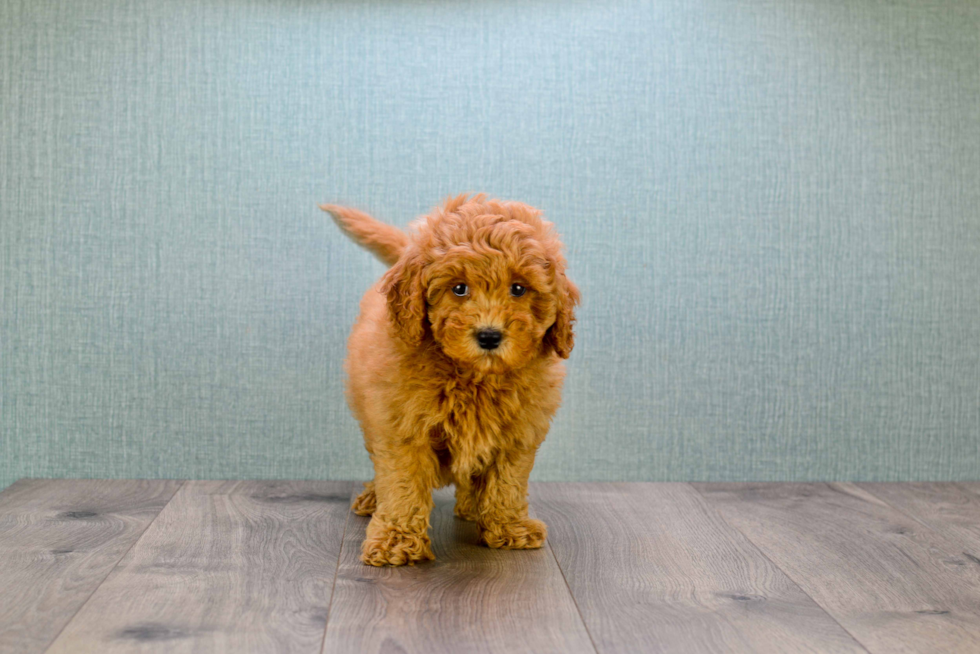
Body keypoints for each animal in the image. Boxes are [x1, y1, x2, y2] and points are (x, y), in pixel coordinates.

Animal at [322, 195, 580, 568]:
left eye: (518, 289)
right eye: (459, 289)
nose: (489, 336)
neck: (473, 377)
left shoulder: (518, 433)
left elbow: (508, 482)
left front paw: (508, 527)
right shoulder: (402, 428)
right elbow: (401, 485)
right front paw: (396, 541)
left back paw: (472, 507)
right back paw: (373, 498)